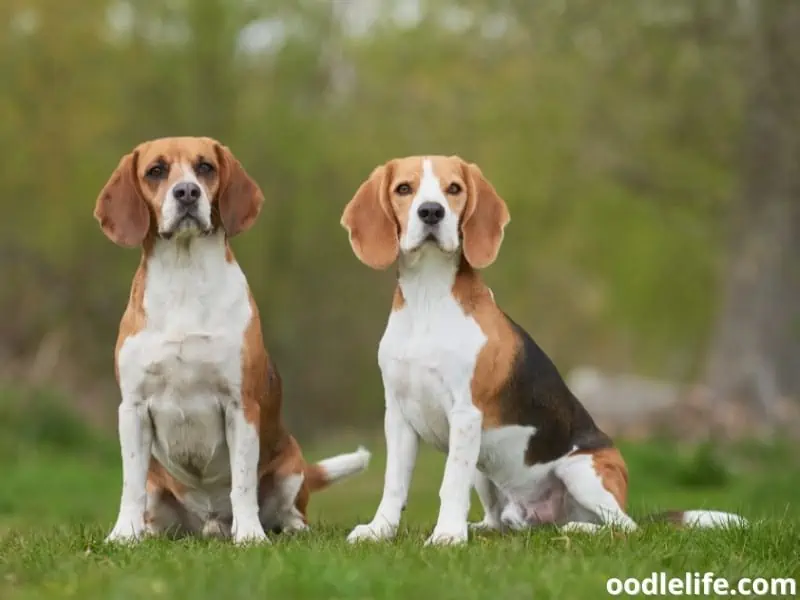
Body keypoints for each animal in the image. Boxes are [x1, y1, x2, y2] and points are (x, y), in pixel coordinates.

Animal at [96, 136, 368, 544]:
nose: (187, 192)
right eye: (156, 171)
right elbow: (130, 485)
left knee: (290, 510)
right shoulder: (132, 409)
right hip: (159, 487)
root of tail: (210, 524)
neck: (185, 274)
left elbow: (242, 482)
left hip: (290, 470)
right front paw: (123, 535)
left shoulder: (241, 406)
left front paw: (250, 535)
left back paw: (283, 528)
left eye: (205, 167)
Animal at [338, 157, 744, 548]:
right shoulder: (399, 415)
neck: (428, 296)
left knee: (624, 528)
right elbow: (394, 483)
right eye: (403, 189)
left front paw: (447, 536)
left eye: (453, 188)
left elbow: (451, 482)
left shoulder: (466, 415)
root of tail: (542, 517)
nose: (431, 212)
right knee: (500, 520)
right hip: (486, 469)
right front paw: (379, 531)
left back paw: (577, 530)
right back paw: (486, 528)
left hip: (579, 469)